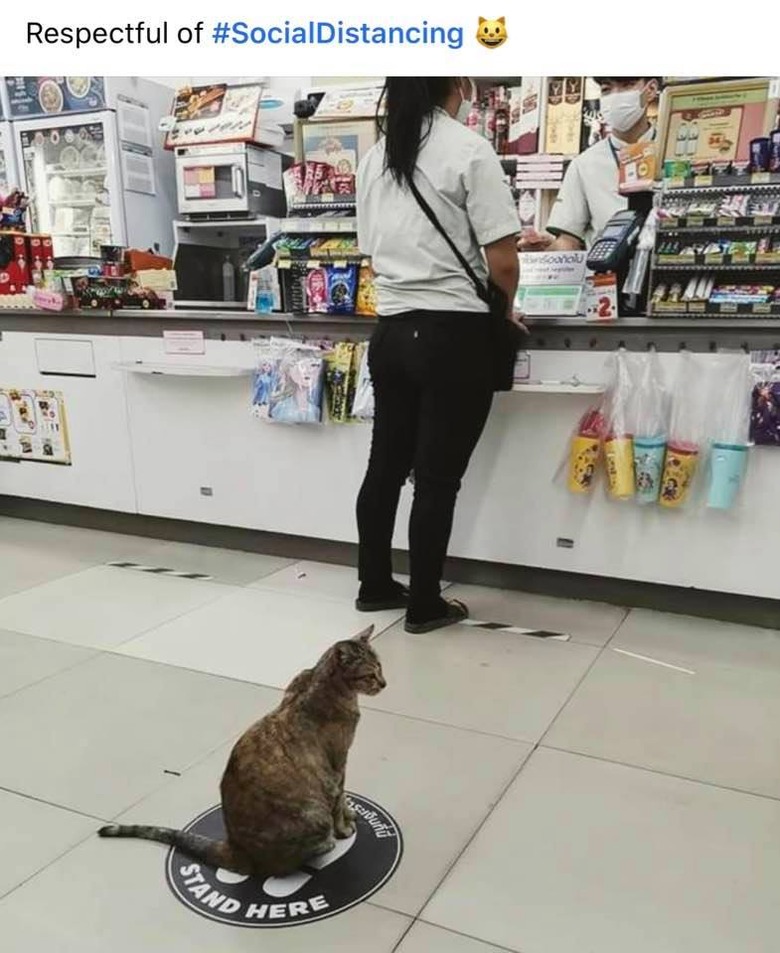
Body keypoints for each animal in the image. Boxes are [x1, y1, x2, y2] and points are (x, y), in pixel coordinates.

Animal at [99, 624, 386, 876]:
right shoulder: (337, 764)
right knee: (284, 865)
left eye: (381, 667)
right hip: (314, 816)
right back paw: (325, 844)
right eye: (369, 675)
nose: (384, 683)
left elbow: (344, 796)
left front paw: (350, 814)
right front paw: (345, 828)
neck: (319, 679)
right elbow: (339, 798)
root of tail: (236, 849)